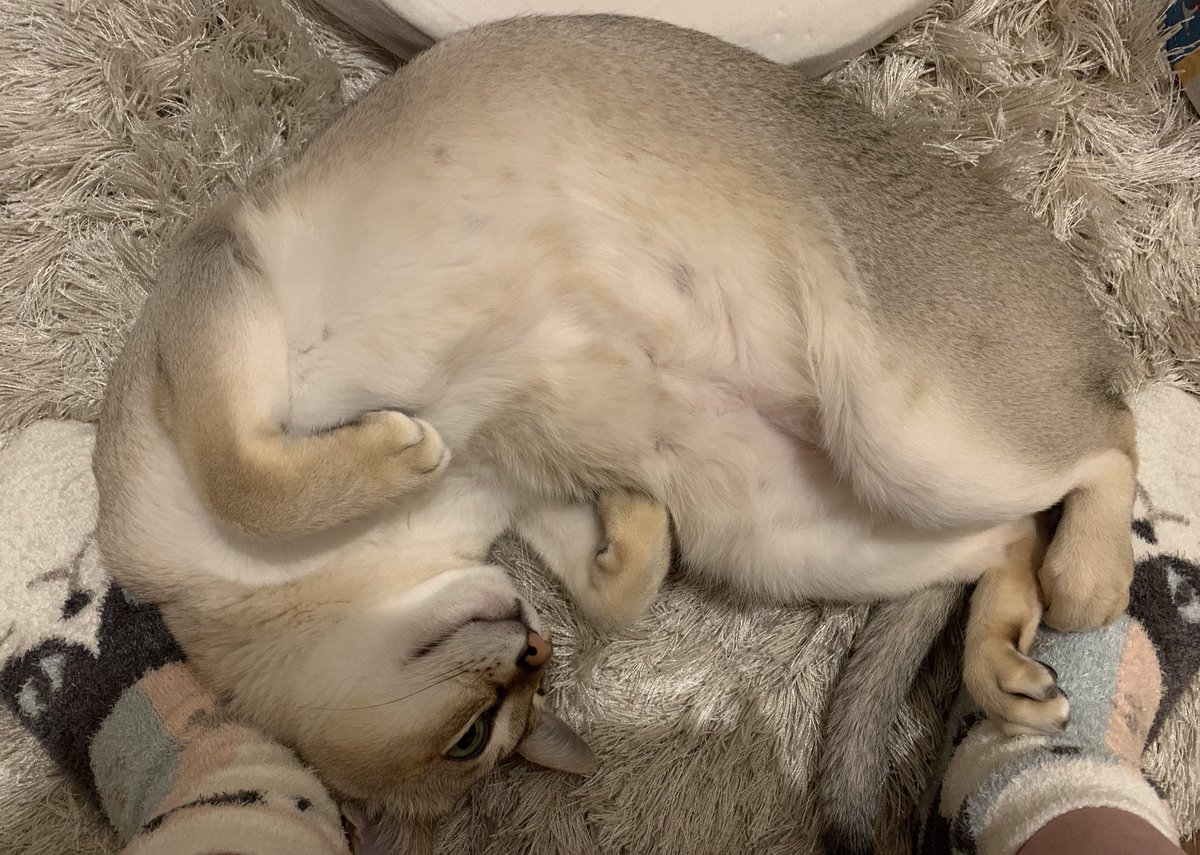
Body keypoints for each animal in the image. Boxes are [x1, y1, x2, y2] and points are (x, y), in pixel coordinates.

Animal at [92, 14, 1136, 853]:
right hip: (793, 534)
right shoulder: (509, 492)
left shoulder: (215, 286)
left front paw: (394, 447)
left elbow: (242, 478)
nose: (529, 649)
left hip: (908, 430)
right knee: (1005, 536)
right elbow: (615, 591)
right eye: (484, 735)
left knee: (1108, 437)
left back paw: (1091, 574)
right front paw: (631, 526)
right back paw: (1003, 666)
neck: (313, 581)